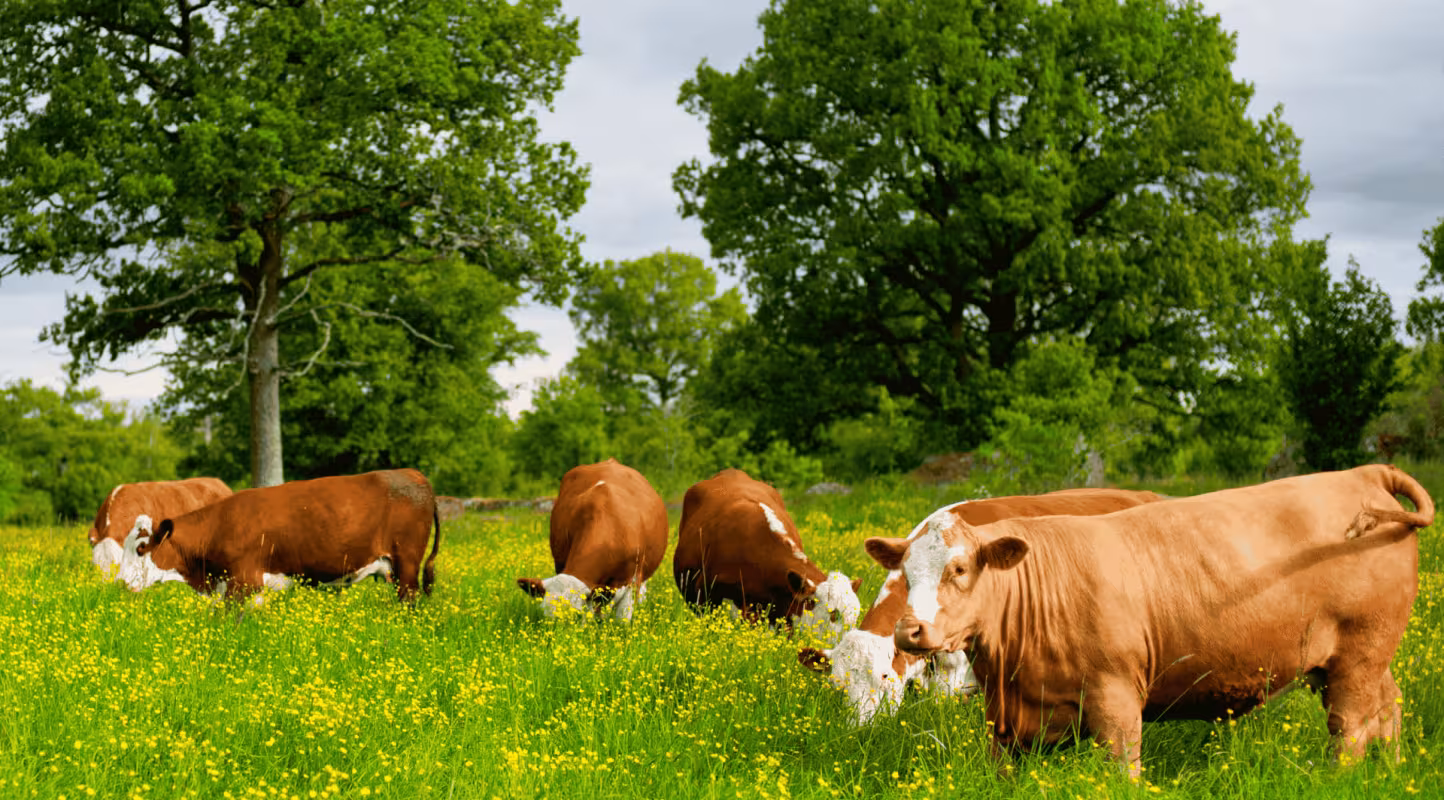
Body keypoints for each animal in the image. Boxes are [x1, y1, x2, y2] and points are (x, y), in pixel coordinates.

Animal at [872, 465, 1434, 776]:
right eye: (906, 570)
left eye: (960, 569)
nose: (909, 630)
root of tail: (1365, 474)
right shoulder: (1009, 720)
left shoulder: (1115, 695)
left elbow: (1122, 769)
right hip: (1360, 659)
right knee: (1389, 709)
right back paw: (1392, 774)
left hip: (1359, 655)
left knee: (1351, 731)